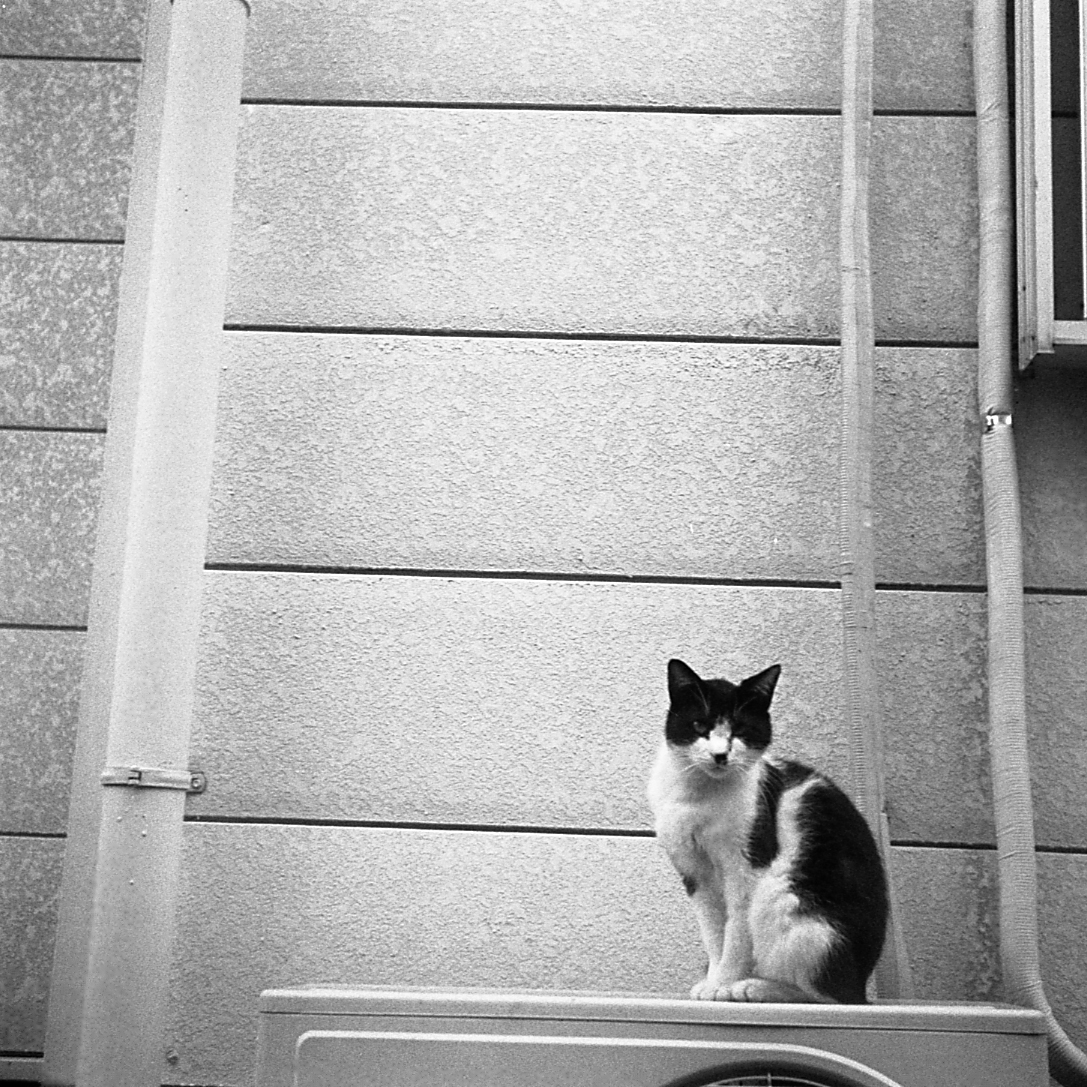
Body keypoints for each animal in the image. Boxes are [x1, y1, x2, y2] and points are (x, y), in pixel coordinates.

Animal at [643, 652, 882, 1000]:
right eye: (700, 724)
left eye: (740, 729)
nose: (720, 754)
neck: (699, 797)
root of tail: (862, 981)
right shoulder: (695, 873)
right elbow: (714, 932)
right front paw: (712, 980)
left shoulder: (747, 865)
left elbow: (736, 934)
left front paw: (723, 984)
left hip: (787, 903)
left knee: (826, 996)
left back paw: (753, 987)